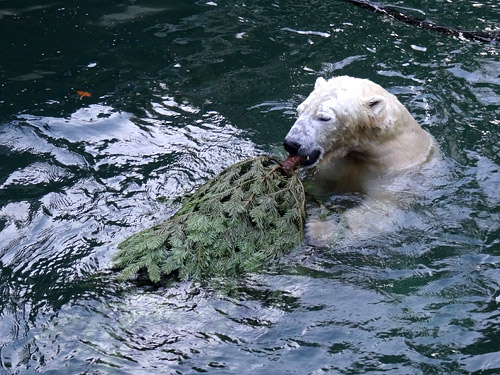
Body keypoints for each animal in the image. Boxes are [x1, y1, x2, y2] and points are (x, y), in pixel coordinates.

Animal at [284, 76, 440, 247]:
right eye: (300, 110)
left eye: (324, 117)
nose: (291, 144)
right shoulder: (336, 165)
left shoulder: (396, 173)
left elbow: (380, 209)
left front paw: (319, 229)